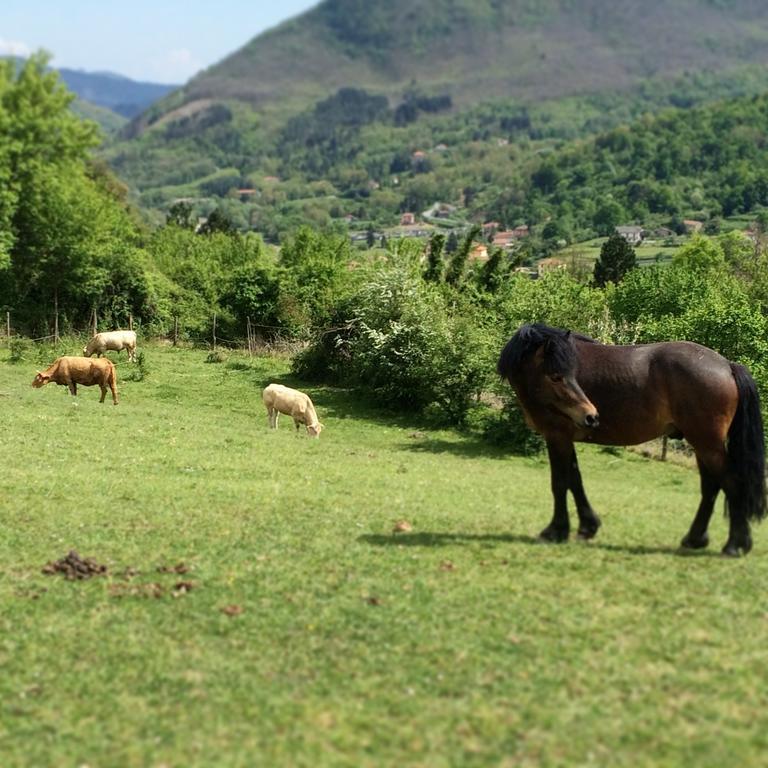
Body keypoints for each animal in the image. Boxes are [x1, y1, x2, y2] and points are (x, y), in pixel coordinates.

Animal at [496, 320, 764, 556]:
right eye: (555, 375)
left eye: (562, 375)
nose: (591, 415)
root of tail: (727, 365)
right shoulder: (566, 439)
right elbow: (575, 480)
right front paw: (587, 526)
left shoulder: (557, 436)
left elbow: (560, 483)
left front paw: (555, 531)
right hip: (702, 445)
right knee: (710, 487)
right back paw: (695, 539)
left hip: (708, 444)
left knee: (731, 483)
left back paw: (735, 545)